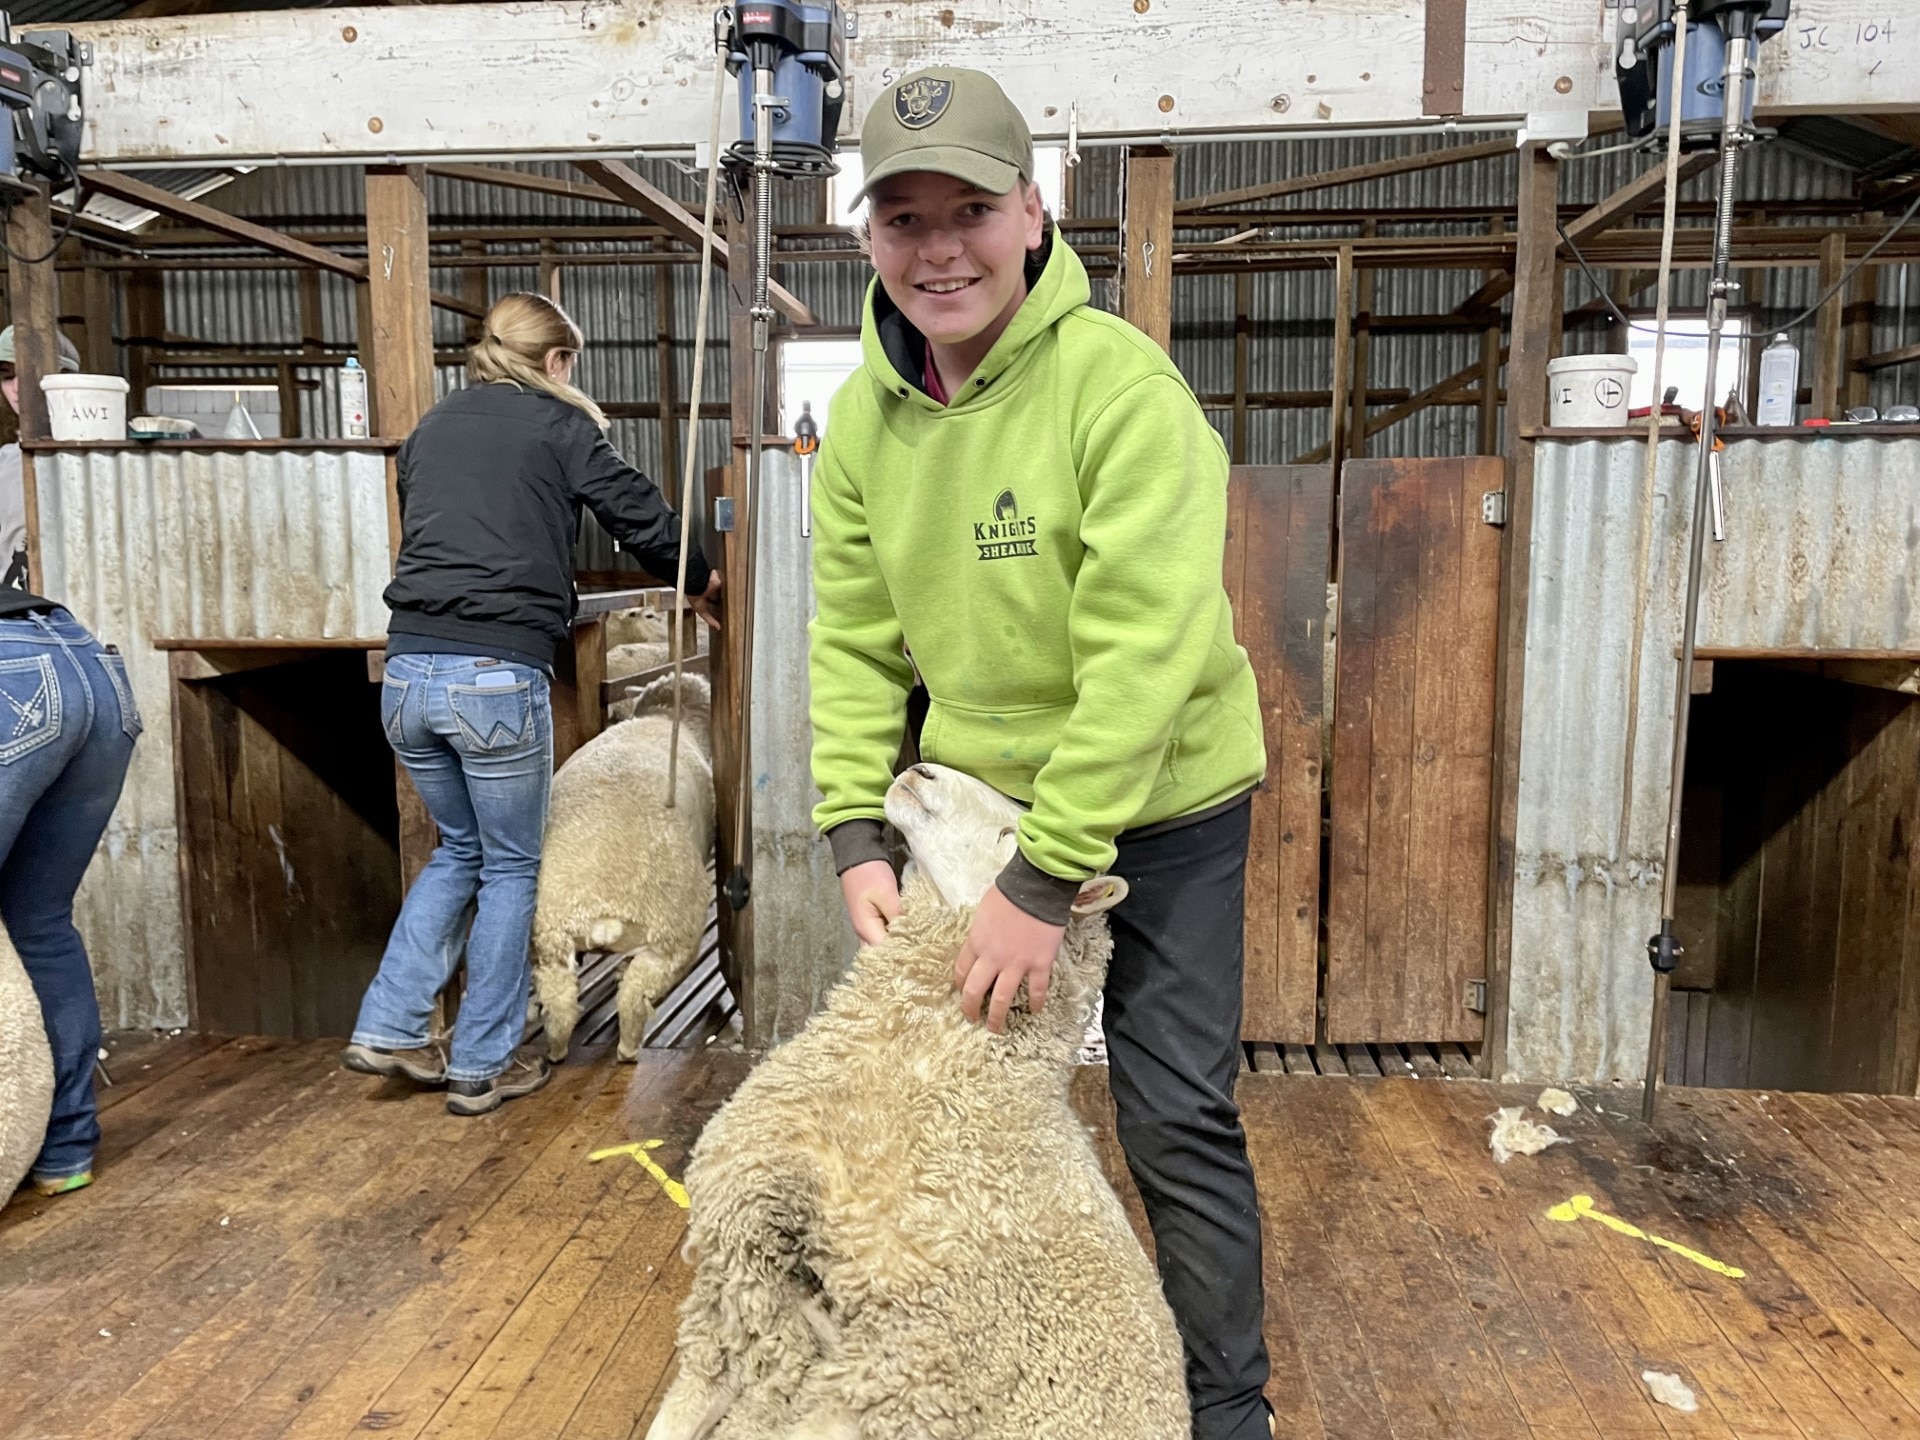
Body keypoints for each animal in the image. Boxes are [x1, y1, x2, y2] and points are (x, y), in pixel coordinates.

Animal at [531, 671, 714, 1063]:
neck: (666, 717)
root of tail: (601, 904)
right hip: (671, 941)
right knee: (634, 996)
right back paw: (629, 1049)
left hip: (550, 940)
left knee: (560, 1002)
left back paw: (556, 1050)